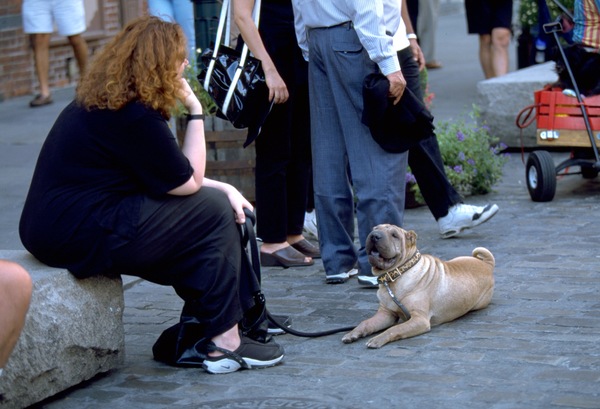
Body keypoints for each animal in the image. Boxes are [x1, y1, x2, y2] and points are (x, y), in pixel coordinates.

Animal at [344, 223, 494, 348]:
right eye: (374, 229)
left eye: (394, 235)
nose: (374, 236)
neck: (396, 276)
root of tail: (486, 264)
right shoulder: (386, 314)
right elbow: (366, 322)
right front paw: (353, 333)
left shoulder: (419, 319)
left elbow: (395, 329)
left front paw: (378, 339)